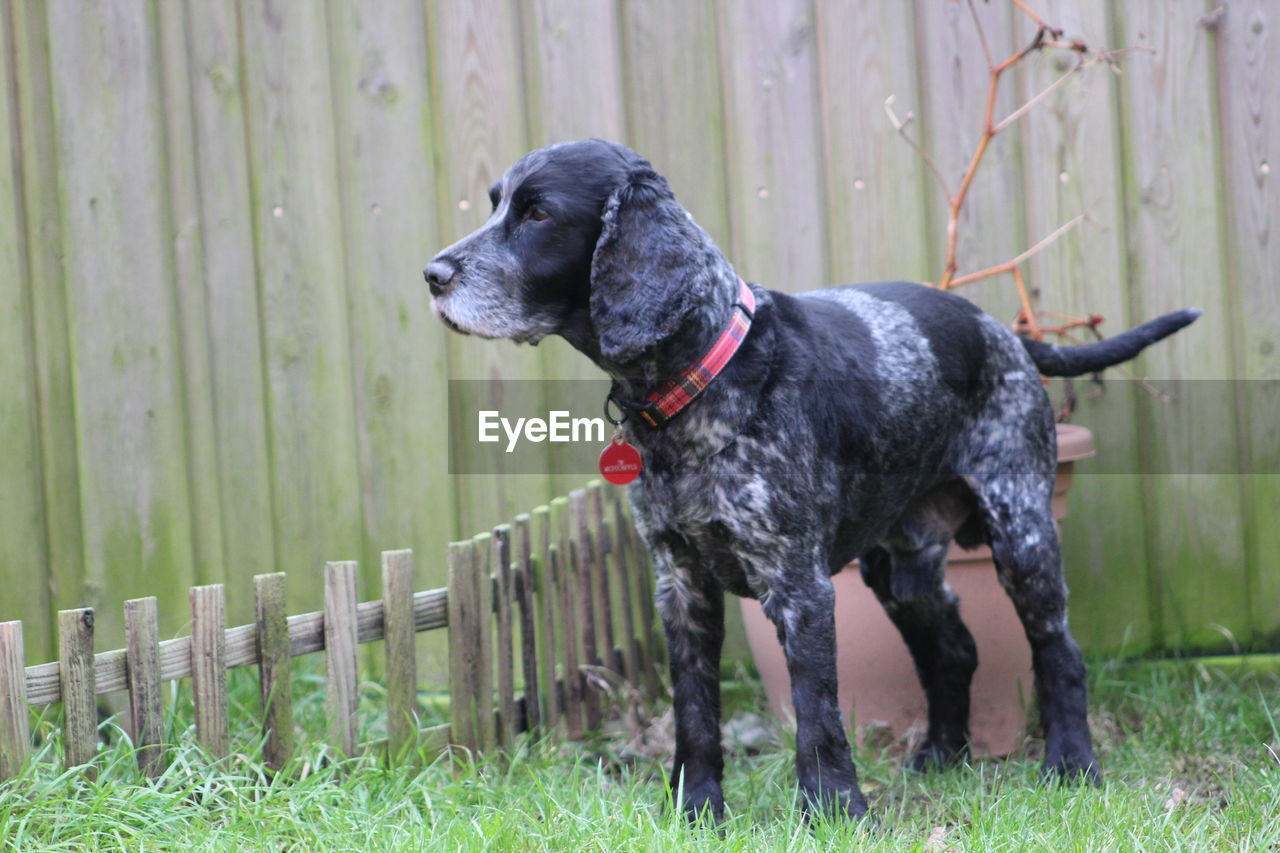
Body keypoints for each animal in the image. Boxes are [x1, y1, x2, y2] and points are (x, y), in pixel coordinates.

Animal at [427, 140, 1198, 824]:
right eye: (497, 203)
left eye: (538, 213)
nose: (434, 274)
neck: (702, 384)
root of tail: (1004, 333)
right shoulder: (680, 581)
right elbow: (695, 713)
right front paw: (696, 812)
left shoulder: (797, 582)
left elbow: (817, 714)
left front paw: (836, 813)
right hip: (900, 564)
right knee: (955, 648)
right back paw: (942, 757)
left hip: (1022, 528)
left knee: (1058, 650)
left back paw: (1071, 765)